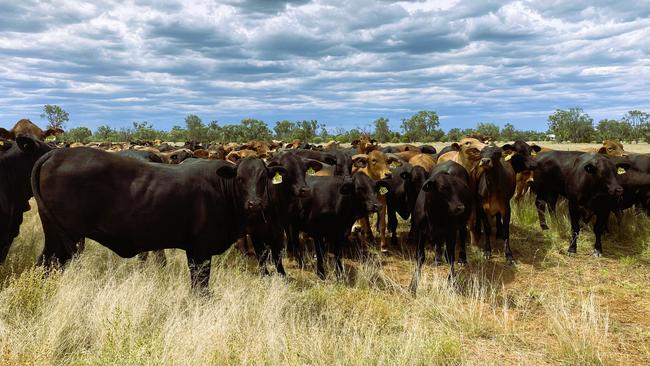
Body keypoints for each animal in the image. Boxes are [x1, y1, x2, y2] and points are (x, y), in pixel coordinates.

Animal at [29, 149, 284, 288]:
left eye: (264, 178)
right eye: (240, 178)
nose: (255, 204)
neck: (221, 189)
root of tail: (56, 153)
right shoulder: (201, 251)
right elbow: (201, 288)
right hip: (64, 239)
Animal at [408, 162, 468, 294]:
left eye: (458, 188)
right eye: (444, 188)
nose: (461, 207)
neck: (435, 216)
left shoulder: (451, 232)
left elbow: (450, 257)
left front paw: (452, 282)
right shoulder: (420, 232)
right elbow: (420, 257)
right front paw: (413, 285)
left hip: (462, 224)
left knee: (463, 236)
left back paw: (462, 259)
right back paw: (437, 258)